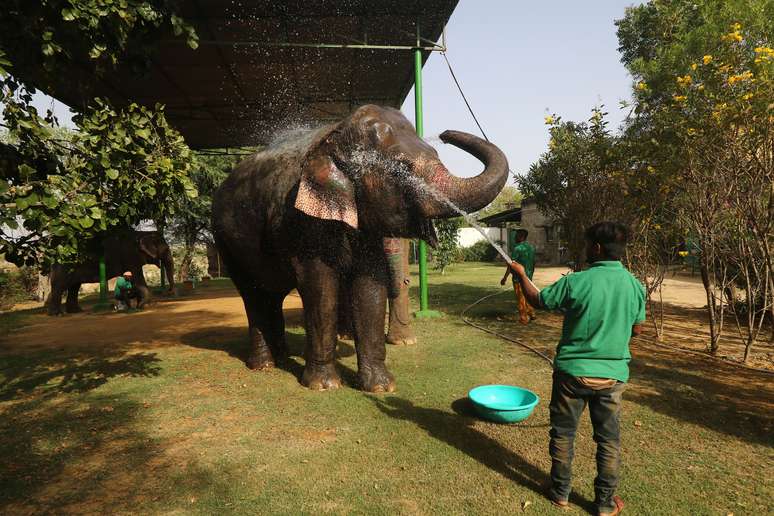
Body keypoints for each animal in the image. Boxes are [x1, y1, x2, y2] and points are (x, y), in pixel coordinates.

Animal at [45, 230, 174, 315]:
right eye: (166, 249)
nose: (169, 292)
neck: (142, 233)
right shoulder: (130, 256)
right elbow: (138, 277)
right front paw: (142, 306)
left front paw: (142, 304)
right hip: (63, 264)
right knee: (60, 286)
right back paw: (57, 314)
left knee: (74, 287)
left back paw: (75, 311)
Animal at [211, 105, 508, 392]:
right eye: (402, 167)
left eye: (436, 151)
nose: (445, 134)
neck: (334, 136)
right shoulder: (302, 222)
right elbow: (320, 287)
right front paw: (323, 386)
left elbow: (370, 286)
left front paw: (381, 387)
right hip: (225, 240)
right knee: (253, 295)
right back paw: (263, 365)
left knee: (272, 294)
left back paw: (281, 356)